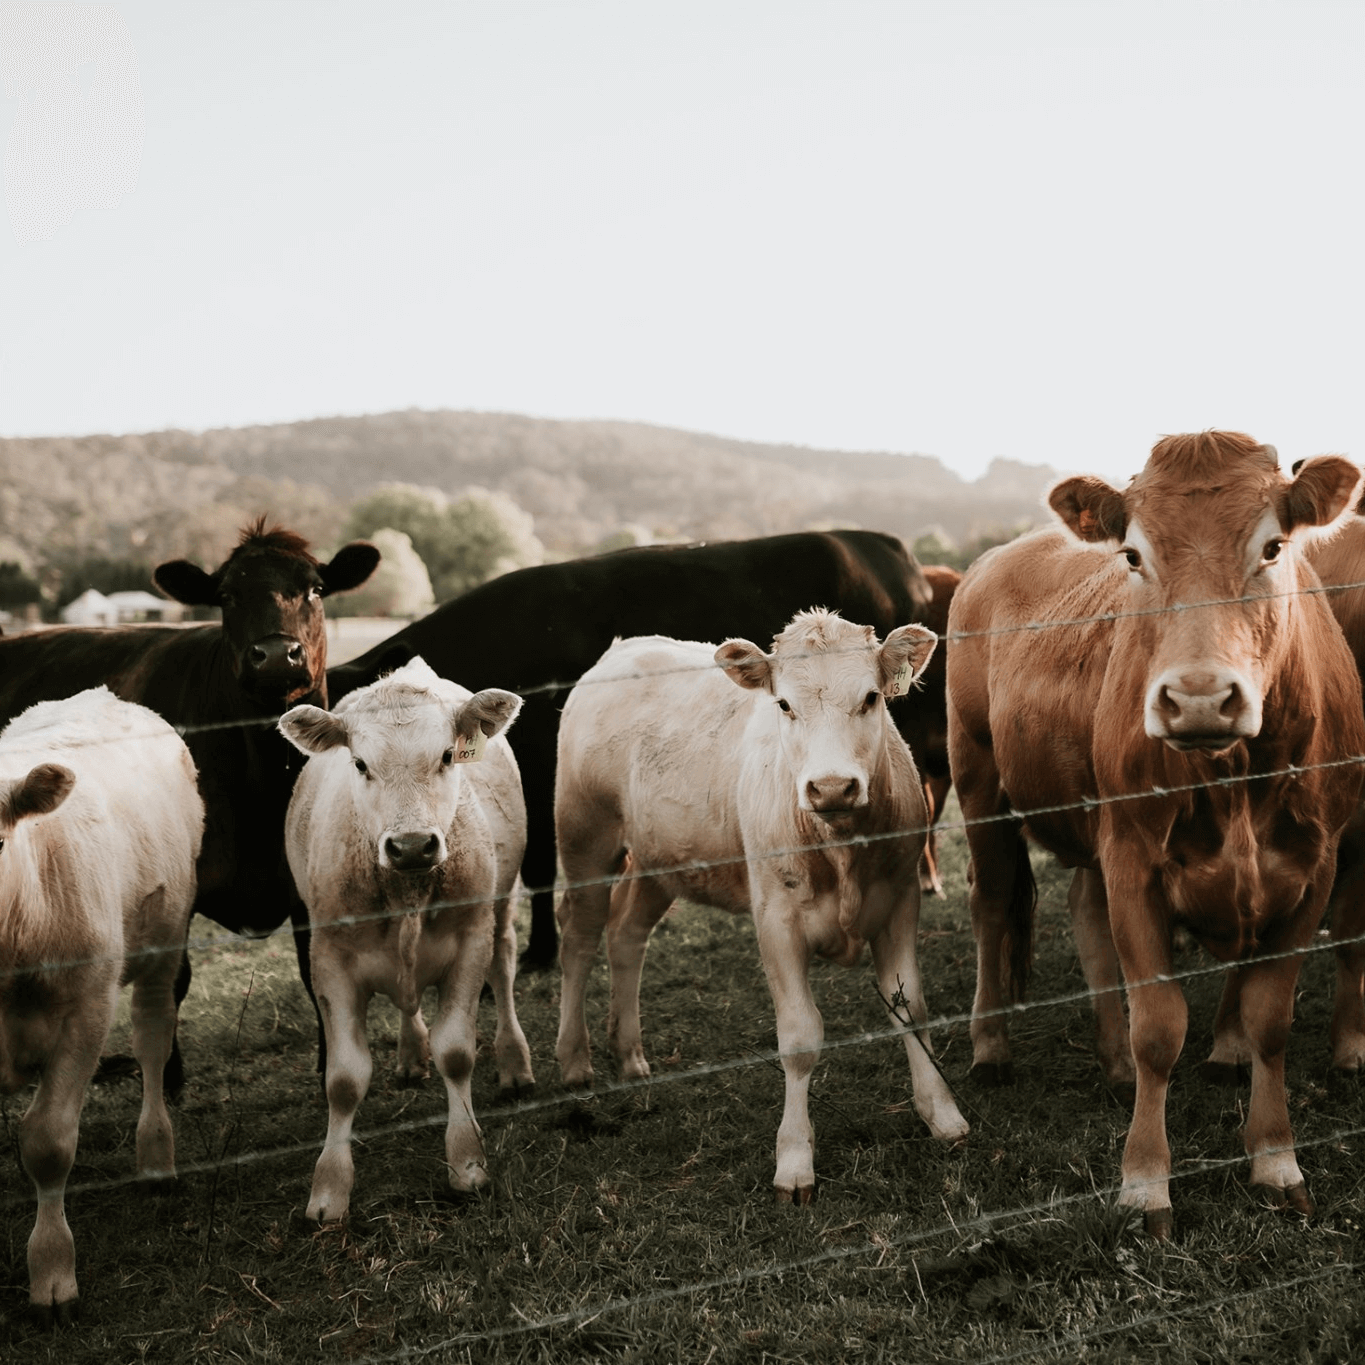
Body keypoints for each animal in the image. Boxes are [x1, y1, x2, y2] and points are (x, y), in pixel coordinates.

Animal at [0, 521, 380, 1093]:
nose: (275, 655)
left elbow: (315, 966)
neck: (261, 774)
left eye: (315, 589)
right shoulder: (178, 879)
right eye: (225, 595)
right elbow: (171, 980)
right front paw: (168, 1079)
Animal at [0, 688, 204, 1325]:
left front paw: (52, 1275)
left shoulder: (85, 1011)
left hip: (163, 946)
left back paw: (156, 1158)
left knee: (153, 1043)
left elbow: (47, 1143)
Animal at [278, 657, 533, 1221]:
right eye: (359, 764)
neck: (407, 891)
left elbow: (456, 1052)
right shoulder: (329, 958)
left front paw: (467, 1163)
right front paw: (329, 1189)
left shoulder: (470, 940)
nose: (412, 845)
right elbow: (344, 1079)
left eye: (446, 756)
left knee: (504, 969)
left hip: (501, 905)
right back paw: (411, 1053)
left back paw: (515, 1063)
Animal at [553, 609, 969, 1203]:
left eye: (870, 698)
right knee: (580, 937)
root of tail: (626, 647)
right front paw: (794, 1160)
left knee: (626, 934)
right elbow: (798, 1039)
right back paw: (574, 1060)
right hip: (586, 837)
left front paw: (942, 1113)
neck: (838, 846)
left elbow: (910, 1007)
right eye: (784, 704)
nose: (832, 787)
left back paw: (629, 1053)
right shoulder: (776, 919)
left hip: (663, 859)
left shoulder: (899, 900)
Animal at [947, 431, 1364, 1237]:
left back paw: (1110, 1063)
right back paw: (991, 1047)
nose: (1197, 697)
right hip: (977, 773)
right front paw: (1144, 1182)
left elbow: (1269, 1016)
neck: (1236, 781)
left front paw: (1276, 1159)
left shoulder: (1319, 864)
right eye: (1134, 555)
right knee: (991, 904)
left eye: (1272, 546)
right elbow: (1160, 1027)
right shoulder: (1134, 858)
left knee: (1083, 916)